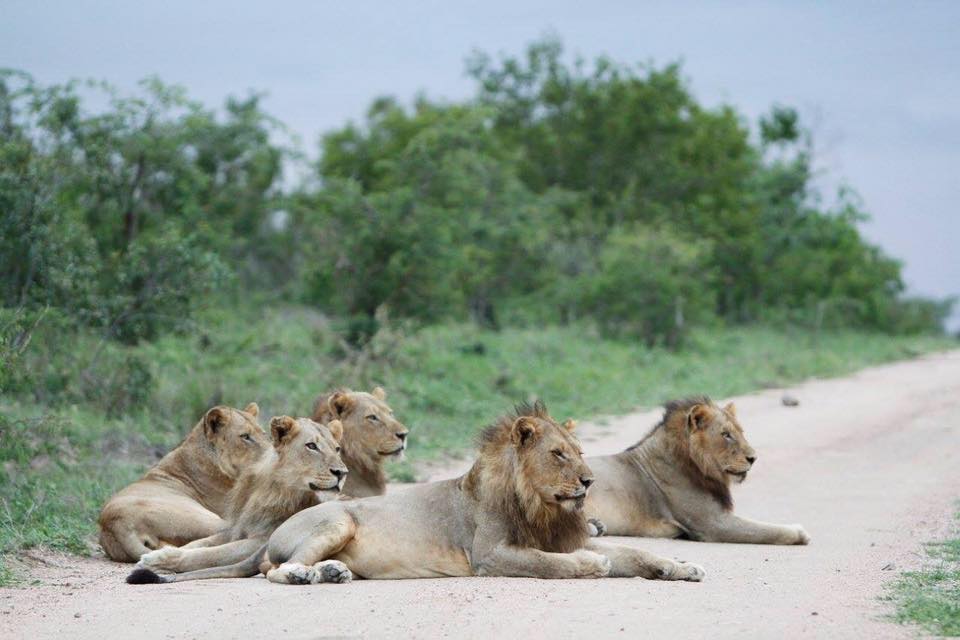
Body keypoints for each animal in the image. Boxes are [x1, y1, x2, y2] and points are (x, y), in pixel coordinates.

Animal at [125, 418, 346, 584]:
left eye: (337, 449)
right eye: (312, 446)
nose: (342, 473)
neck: (276, 489)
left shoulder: (263, 538)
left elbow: (212, 554)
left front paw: (159, 559)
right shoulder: (240, 529)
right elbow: (201, 543)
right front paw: (162, 552)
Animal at [584, 396, 808, 544]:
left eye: (741, 432)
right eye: (726, 434)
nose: (753, 458)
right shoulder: (712, 523)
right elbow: (765, 530)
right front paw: (800, 532)